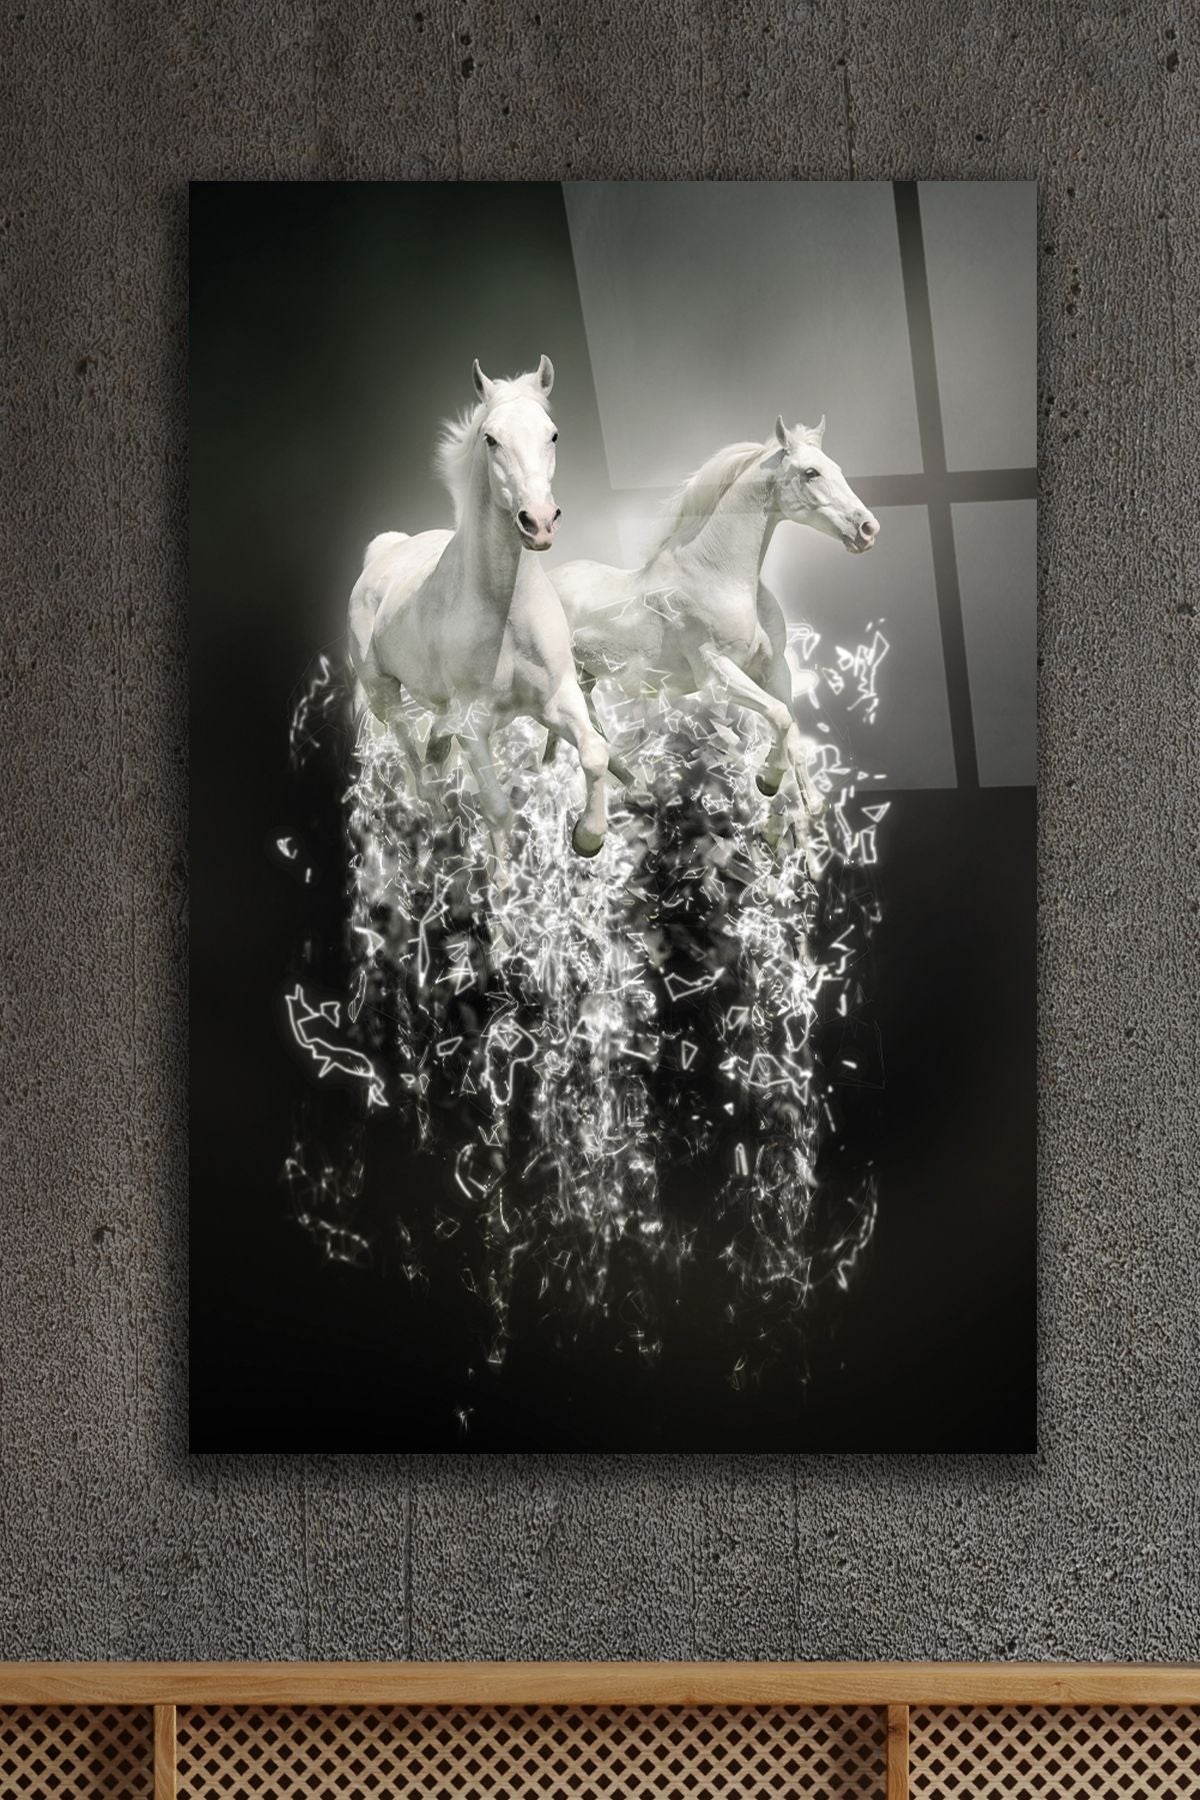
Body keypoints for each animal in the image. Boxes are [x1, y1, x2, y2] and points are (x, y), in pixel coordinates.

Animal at [348, 356, 611, 857]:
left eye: (552, 434)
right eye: (491, 439)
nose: (539, 522)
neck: (505, 612)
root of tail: (383, 552)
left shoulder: (558, 698)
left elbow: (594, 754)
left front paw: (587, 838)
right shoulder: (474, 727)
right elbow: (497, 809)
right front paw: (503, 876)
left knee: (434, 748)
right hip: (384, 694)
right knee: (414, 758)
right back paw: (437, 819)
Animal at [549, 415, 880, 817]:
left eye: (838, 469)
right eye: (811, 472)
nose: (867, 529)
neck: (719, 576)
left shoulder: (774, 667)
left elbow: (790, 725)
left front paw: (809, 800)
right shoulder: (718, 674)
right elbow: (780, 717)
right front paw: (769, 781)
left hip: (586, 679)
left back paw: (636, 790)